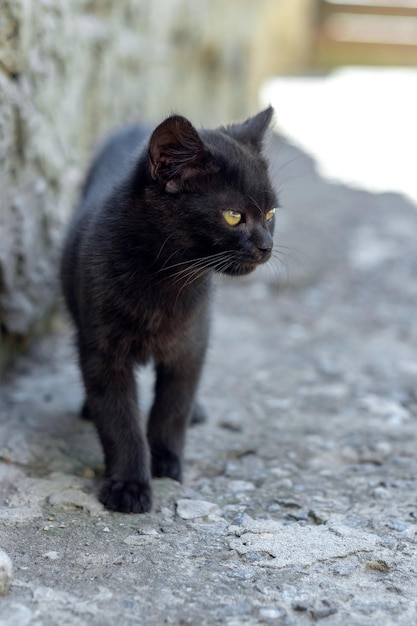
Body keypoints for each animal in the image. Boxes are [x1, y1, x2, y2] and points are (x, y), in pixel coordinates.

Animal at [60, 107, 276, 510]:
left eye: (270, 214)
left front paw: (165, 460)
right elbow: (119, 421)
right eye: (233, 215)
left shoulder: (192, 342)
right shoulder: (102, 351)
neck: (165, 279)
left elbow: (172, 407)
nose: (267, 245)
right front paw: (129, 485)